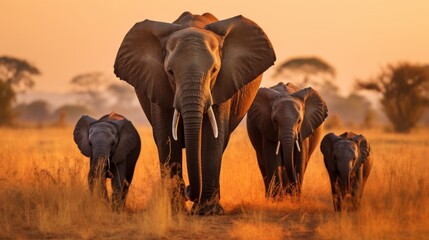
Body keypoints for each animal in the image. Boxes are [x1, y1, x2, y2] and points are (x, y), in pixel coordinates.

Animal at [113, 11, 274, 215]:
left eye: (214, 71)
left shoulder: (222, 85)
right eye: (170, 72)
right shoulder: (159, 85)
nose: (189, 191)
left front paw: (208, 212)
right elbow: (167, 138)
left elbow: (212, 139)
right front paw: (176, 211)